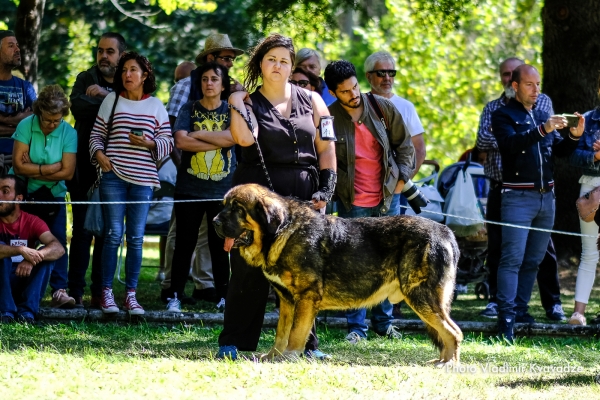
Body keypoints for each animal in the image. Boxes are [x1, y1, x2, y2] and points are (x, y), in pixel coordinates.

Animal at [216, 184, 464, 366]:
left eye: (238, 208)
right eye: (224, 206)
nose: (215, 222)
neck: (281, 231)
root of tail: (445, 231)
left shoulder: (306, 298)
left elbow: (296, 333)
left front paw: (289, 356)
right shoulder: (287, 301)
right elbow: (281, 332)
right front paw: (273, 356)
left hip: (421, 297)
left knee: (453, 332)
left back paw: (448, 363)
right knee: (448, 332)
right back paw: (440, 361)